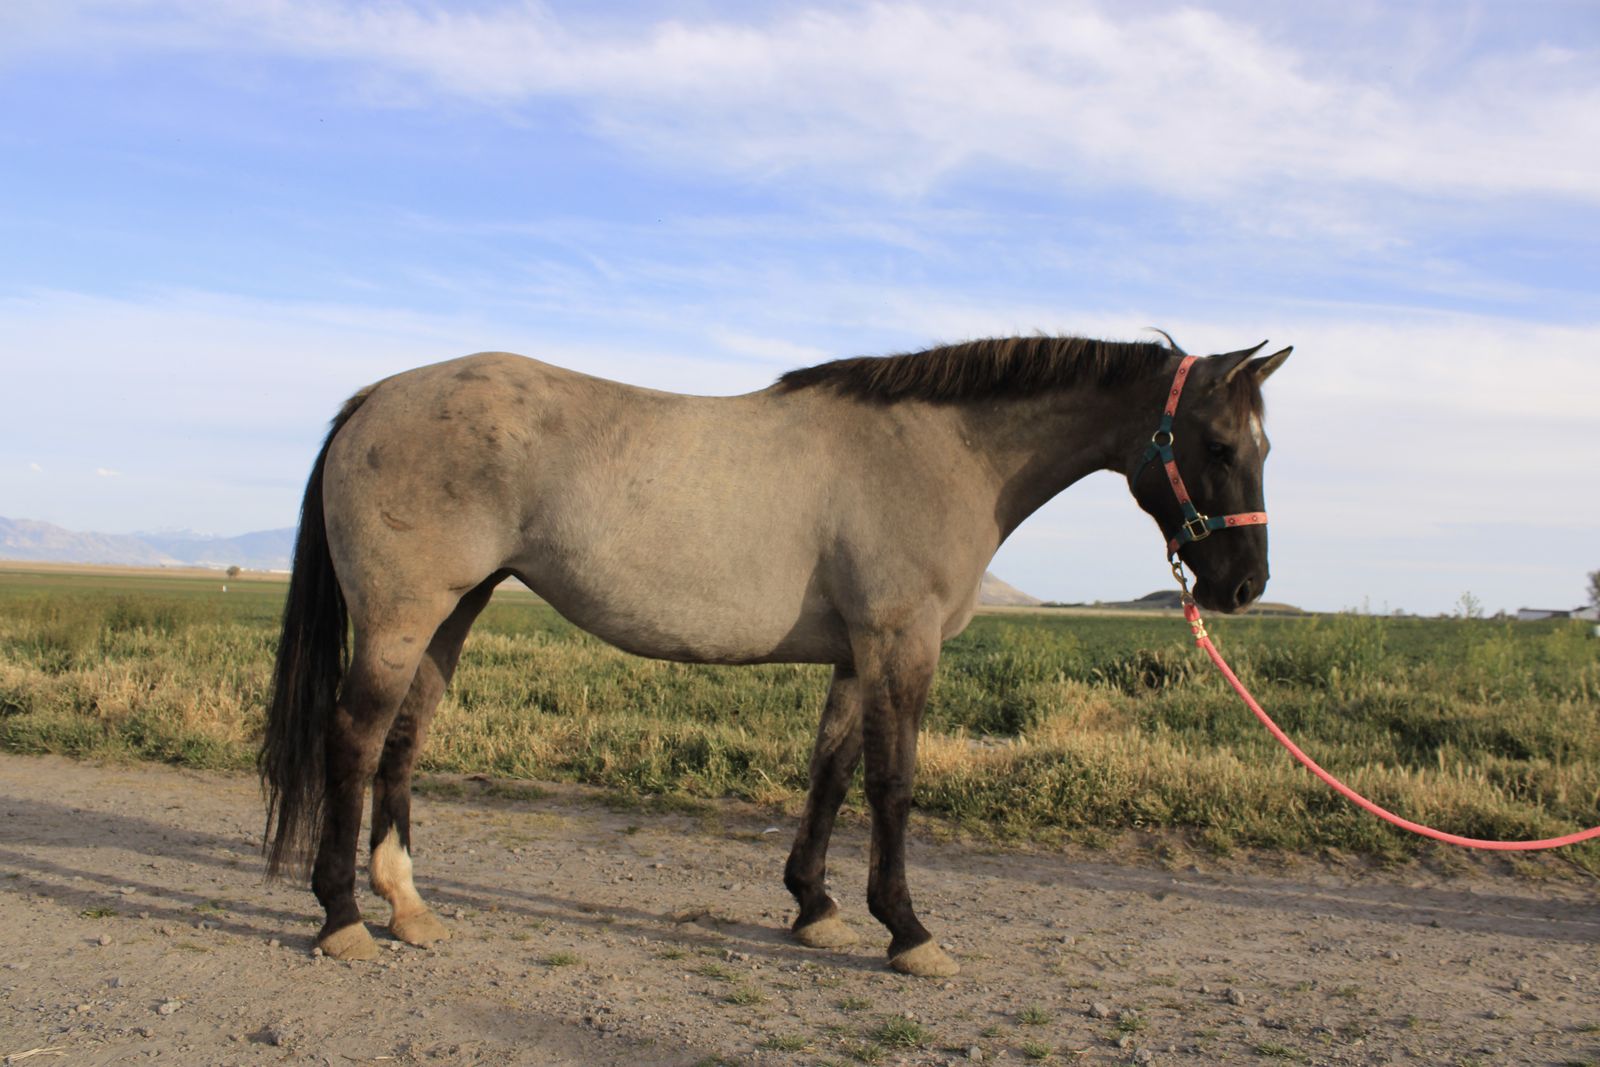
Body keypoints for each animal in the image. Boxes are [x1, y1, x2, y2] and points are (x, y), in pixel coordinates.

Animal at [259, 332, 1291, 977]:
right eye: (1217, 442)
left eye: (1263, 446)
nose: (1245, 585)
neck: (941, 451)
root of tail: (374, 401)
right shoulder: (901, 644)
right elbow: (893, 784)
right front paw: (907, 930)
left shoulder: (856, 655)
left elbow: (829, 773)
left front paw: (814, 907)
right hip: (401, 618)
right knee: (353, 742)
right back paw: (342, 917)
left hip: (451, 613)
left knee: (401, 744)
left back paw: (407, 906)